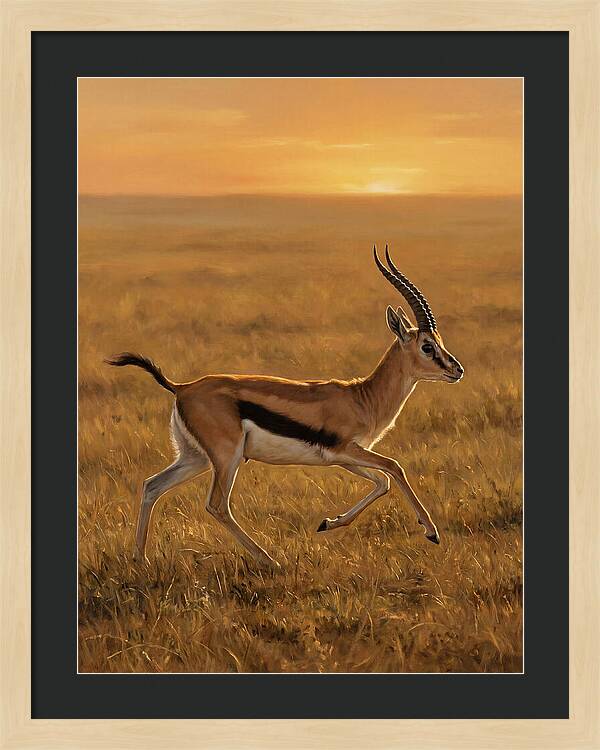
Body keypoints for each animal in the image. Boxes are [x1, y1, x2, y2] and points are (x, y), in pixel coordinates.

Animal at [106, 246, 463, 568]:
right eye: (427, 346)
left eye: (440, 342)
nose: (457, 369)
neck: (363, 397)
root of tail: (182, 387)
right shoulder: (346, 449)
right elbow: (394, 468)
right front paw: (431, 532)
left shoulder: (342, 457)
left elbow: (382, 482)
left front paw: (328, 523)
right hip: (226, 457)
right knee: (217, 505)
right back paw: (270, 560)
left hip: (195, 457)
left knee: (152, 486)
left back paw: (140, 559)